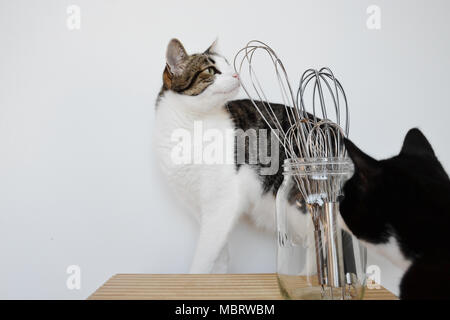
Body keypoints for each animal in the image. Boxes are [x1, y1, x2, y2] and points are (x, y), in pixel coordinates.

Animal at [155, 38, 310, 274]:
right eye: (211, 70)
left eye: (228, 65)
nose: (236, 74)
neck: (190, 125)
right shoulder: (198, 205)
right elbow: (218, 251)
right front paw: (219, 275)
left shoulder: (221, 201)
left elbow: (203, 256)